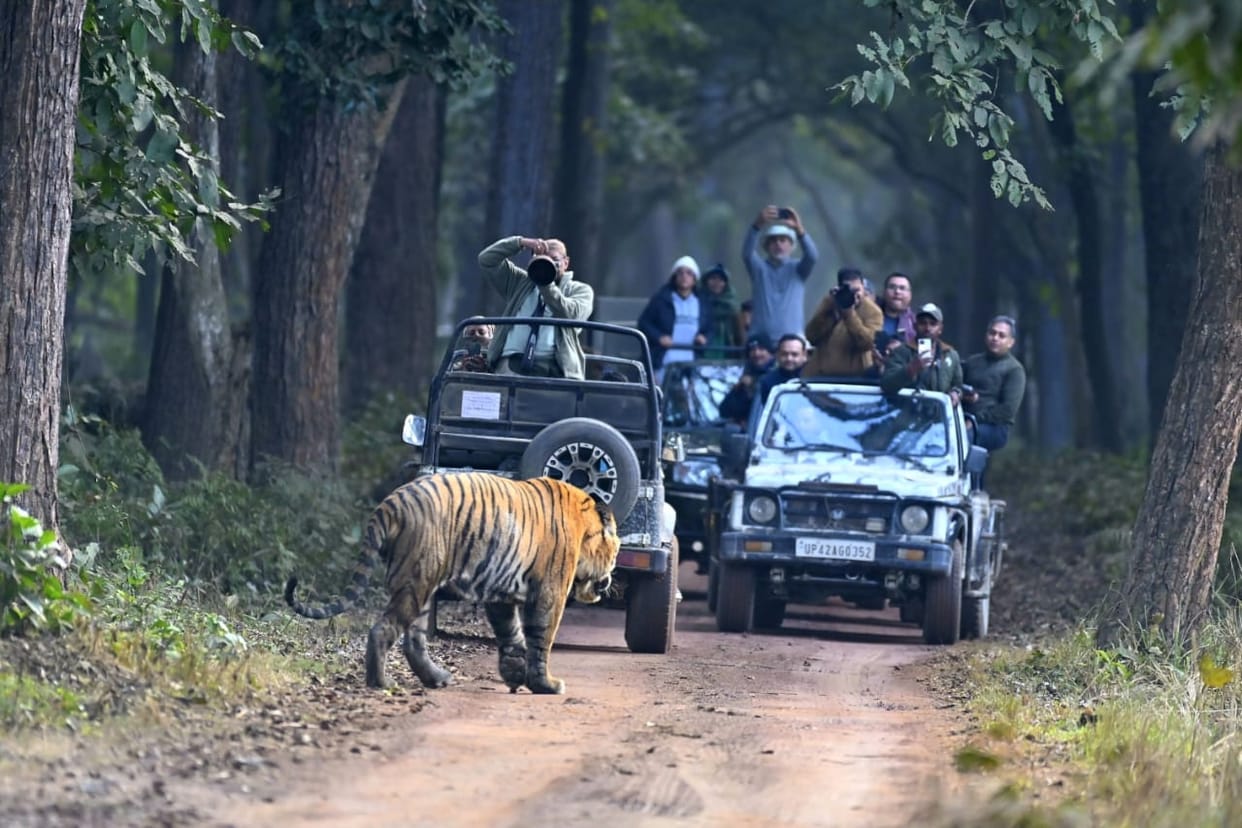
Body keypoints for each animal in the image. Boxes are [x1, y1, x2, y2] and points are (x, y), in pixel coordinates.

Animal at [284, 472, 620, 695]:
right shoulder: (550, 592)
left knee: (413, 641)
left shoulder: (501, 597)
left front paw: (514, 676)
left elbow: (511, 636)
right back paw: (381, 683)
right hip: (417, 582)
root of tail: (389, 504)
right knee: (384, 630)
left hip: (421, 587)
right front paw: (546, 685)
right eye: (615, 553)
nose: (609, 579)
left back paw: (436, 678)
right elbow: (541, 639)